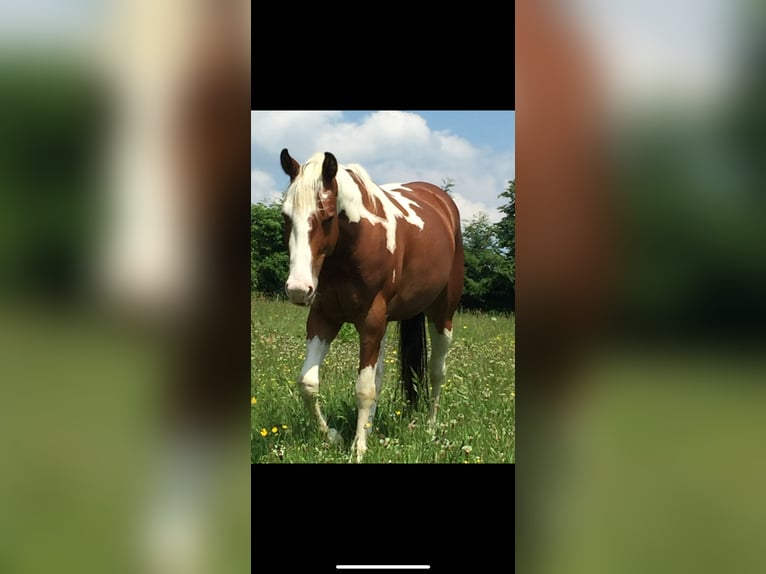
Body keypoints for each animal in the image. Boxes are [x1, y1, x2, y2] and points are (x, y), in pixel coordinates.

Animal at [279, 148, 465, 462]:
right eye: (285, 216)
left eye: (328, 216)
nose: (297, 289)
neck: (352, 247)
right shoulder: (323, 318)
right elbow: (308, 382)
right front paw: (334, 436)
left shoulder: (370, 321)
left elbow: (364, 389)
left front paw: (358, 448)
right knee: (380, 376)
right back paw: (371, 427)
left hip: (442, 315)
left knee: (437, 371)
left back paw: (430, 427)